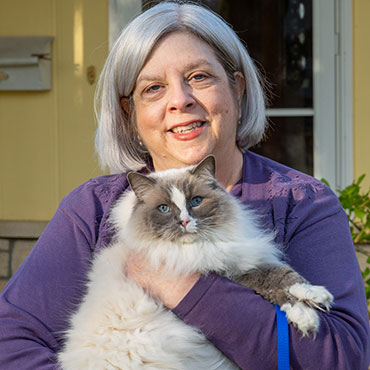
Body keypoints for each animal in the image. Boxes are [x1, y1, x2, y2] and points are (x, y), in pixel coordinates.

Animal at [57, 156, 332, 370]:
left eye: (196, 202)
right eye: (164, 209)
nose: (185, 221)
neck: (203, 246)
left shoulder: (239, 257)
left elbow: (286, 276)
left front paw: (315, 297)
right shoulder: (226, 271)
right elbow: (271, 283)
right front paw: (305, 316)